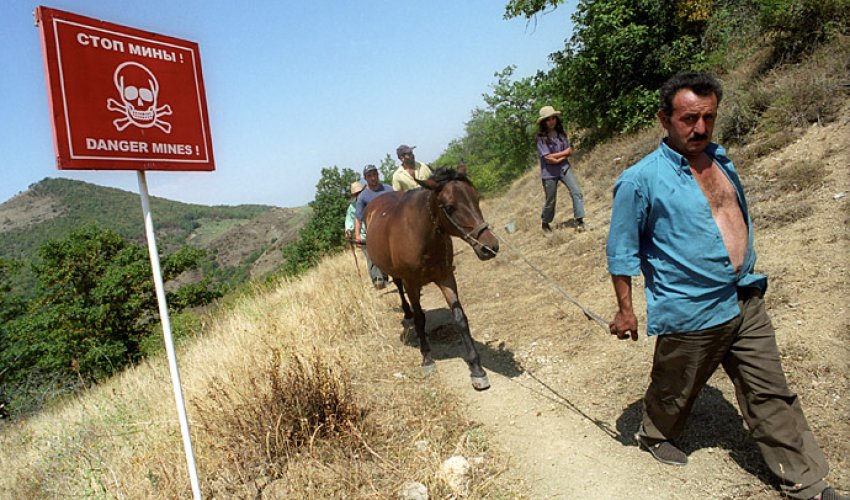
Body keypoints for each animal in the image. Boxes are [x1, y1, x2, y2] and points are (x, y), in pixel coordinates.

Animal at [362, 168, 496, 390]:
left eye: (476, 198)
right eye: (449, 207)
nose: (489, 247)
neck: (421, 235)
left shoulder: (446, 277)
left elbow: (459, 318)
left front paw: (477, 369)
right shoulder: (411, 283)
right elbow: (419, 318)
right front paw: (427, 359)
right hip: (396, 274)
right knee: (399, 288)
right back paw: (407, 313)